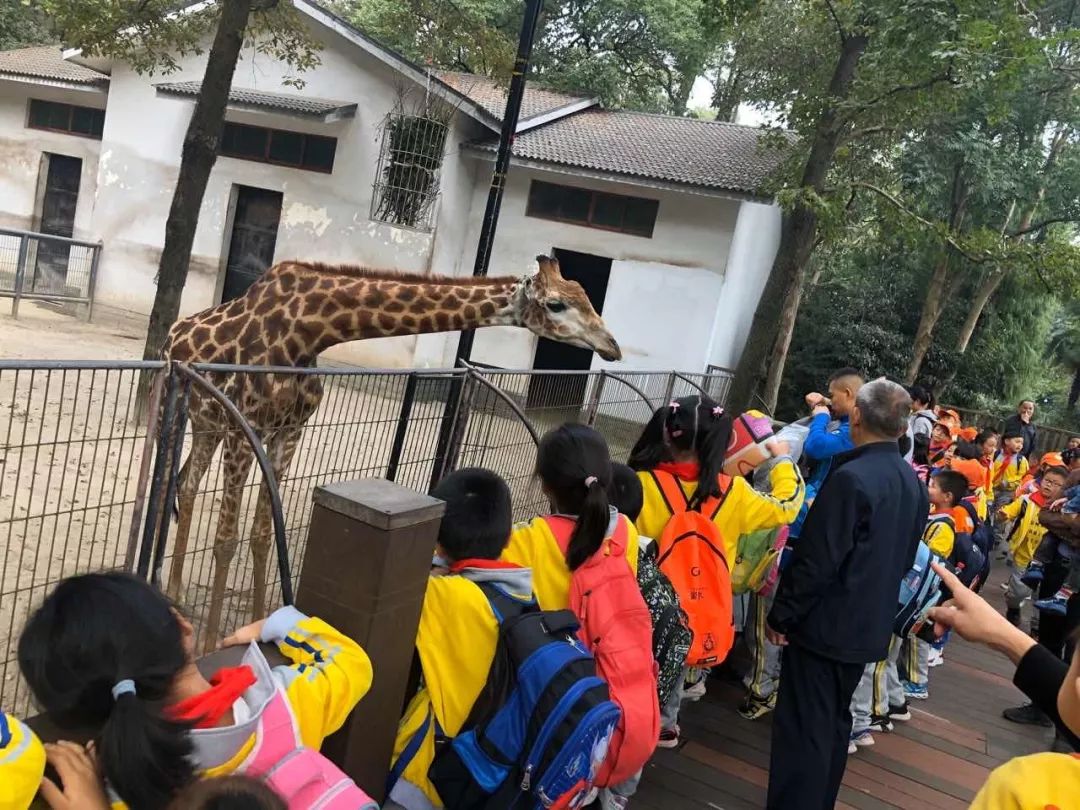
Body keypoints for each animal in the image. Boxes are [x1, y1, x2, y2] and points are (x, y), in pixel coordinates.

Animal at [157, 257, 617, 652]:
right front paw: (213, 642)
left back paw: (175, 592)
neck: (311, 330)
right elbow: (226, 539)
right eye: (556, 304)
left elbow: (262, 534)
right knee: (166, 483)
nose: (611, 345)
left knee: (188, 483)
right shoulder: (245, 425)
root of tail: (173, 333)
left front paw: (263, 621)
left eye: (585, 295)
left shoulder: (289, 431)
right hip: (174, 404)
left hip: (208, 423)